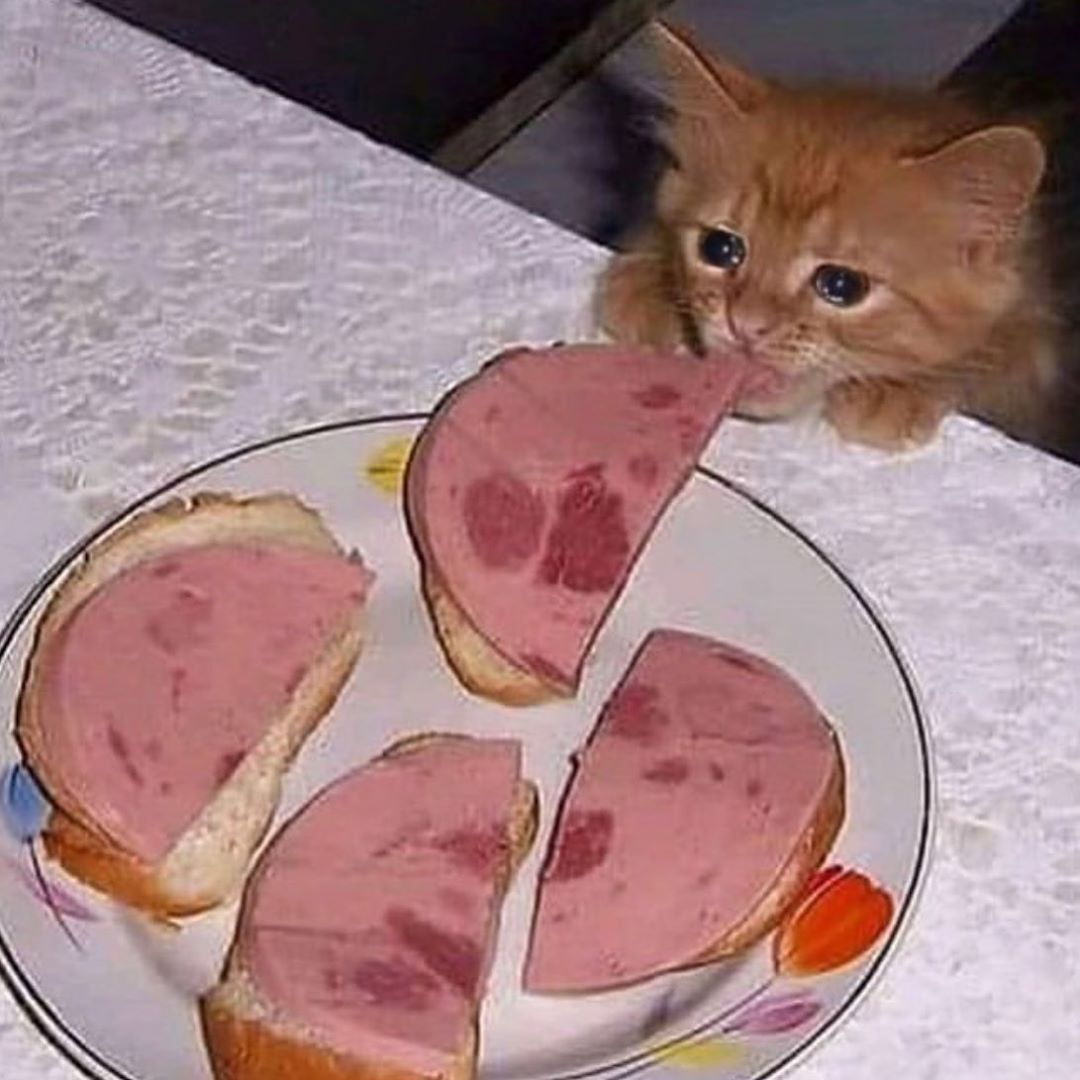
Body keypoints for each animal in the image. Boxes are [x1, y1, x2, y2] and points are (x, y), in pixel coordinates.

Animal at [598, 20, 1067, 453]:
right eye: (720, 248)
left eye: (841, 285)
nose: (745, 325)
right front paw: (651, 283)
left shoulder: (1032, 347)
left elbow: (997, 360)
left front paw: (902, 387)